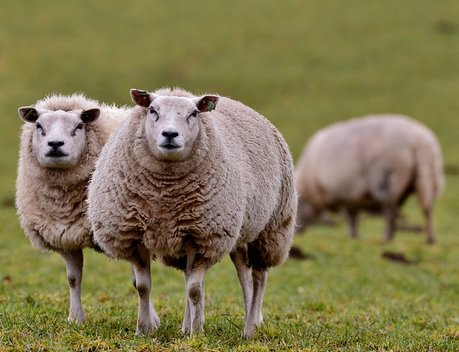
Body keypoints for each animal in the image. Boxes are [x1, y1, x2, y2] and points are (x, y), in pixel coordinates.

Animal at [15, 93, 127, 322]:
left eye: (79, 126)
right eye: (39, 125)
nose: (55, 144)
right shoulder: (66, 234)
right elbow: (73, 278)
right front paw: (75, 319)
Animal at [87, 86, 298, 336]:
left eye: (193, 114)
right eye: (152, 110)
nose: (170, 134)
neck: (165, 194)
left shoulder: (203, 237)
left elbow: (194, 290)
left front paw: (196, 333)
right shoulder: (136, 236)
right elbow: (143, 287)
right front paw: (143, 330)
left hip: (269, 230)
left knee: (258, 278)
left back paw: (250, 327)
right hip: (236, 232)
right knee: (243, 274)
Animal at [294, 114, 446, 243]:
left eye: (297, 205)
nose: (295, 232)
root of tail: (418, 142)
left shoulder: (343, 194)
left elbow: (350, 217)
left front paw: (353, 235)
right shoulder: (352, 197)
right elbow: (353, 216)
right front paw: (355, 235)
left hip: (390, 179)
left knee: (391, 211)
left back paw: (387, 237)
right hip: (426, 177)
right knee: (427, 208)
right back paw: (430, 238)